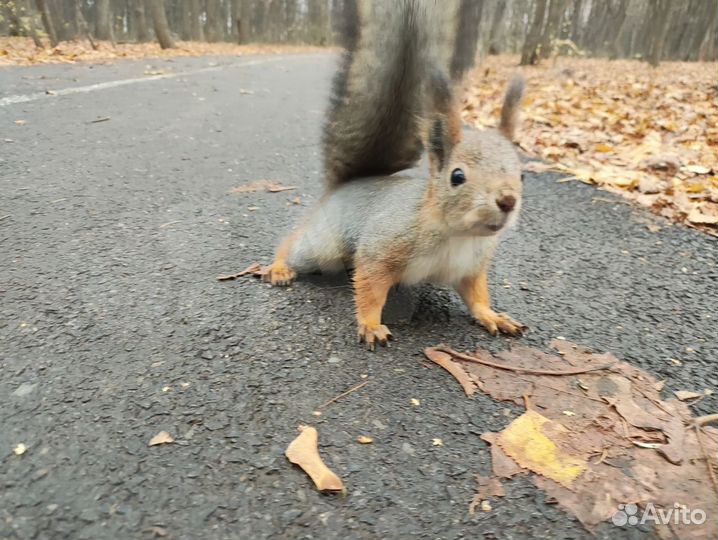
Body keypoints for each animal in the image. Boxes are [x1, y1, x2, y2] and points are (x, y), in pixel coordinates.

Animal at [262, 0, 524, 350]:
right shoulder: (383, 245)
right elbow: (370, 287)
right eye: (457, 176)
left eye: (522, 175)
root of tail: (347, 185)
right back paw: (279, 267)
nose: (507, 201)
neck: (457, 235)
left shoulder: (471, 267)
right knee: (294, 245)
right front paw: (371, 325)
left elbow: (476, 293)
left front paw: (492, 315)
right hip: (323, 246)